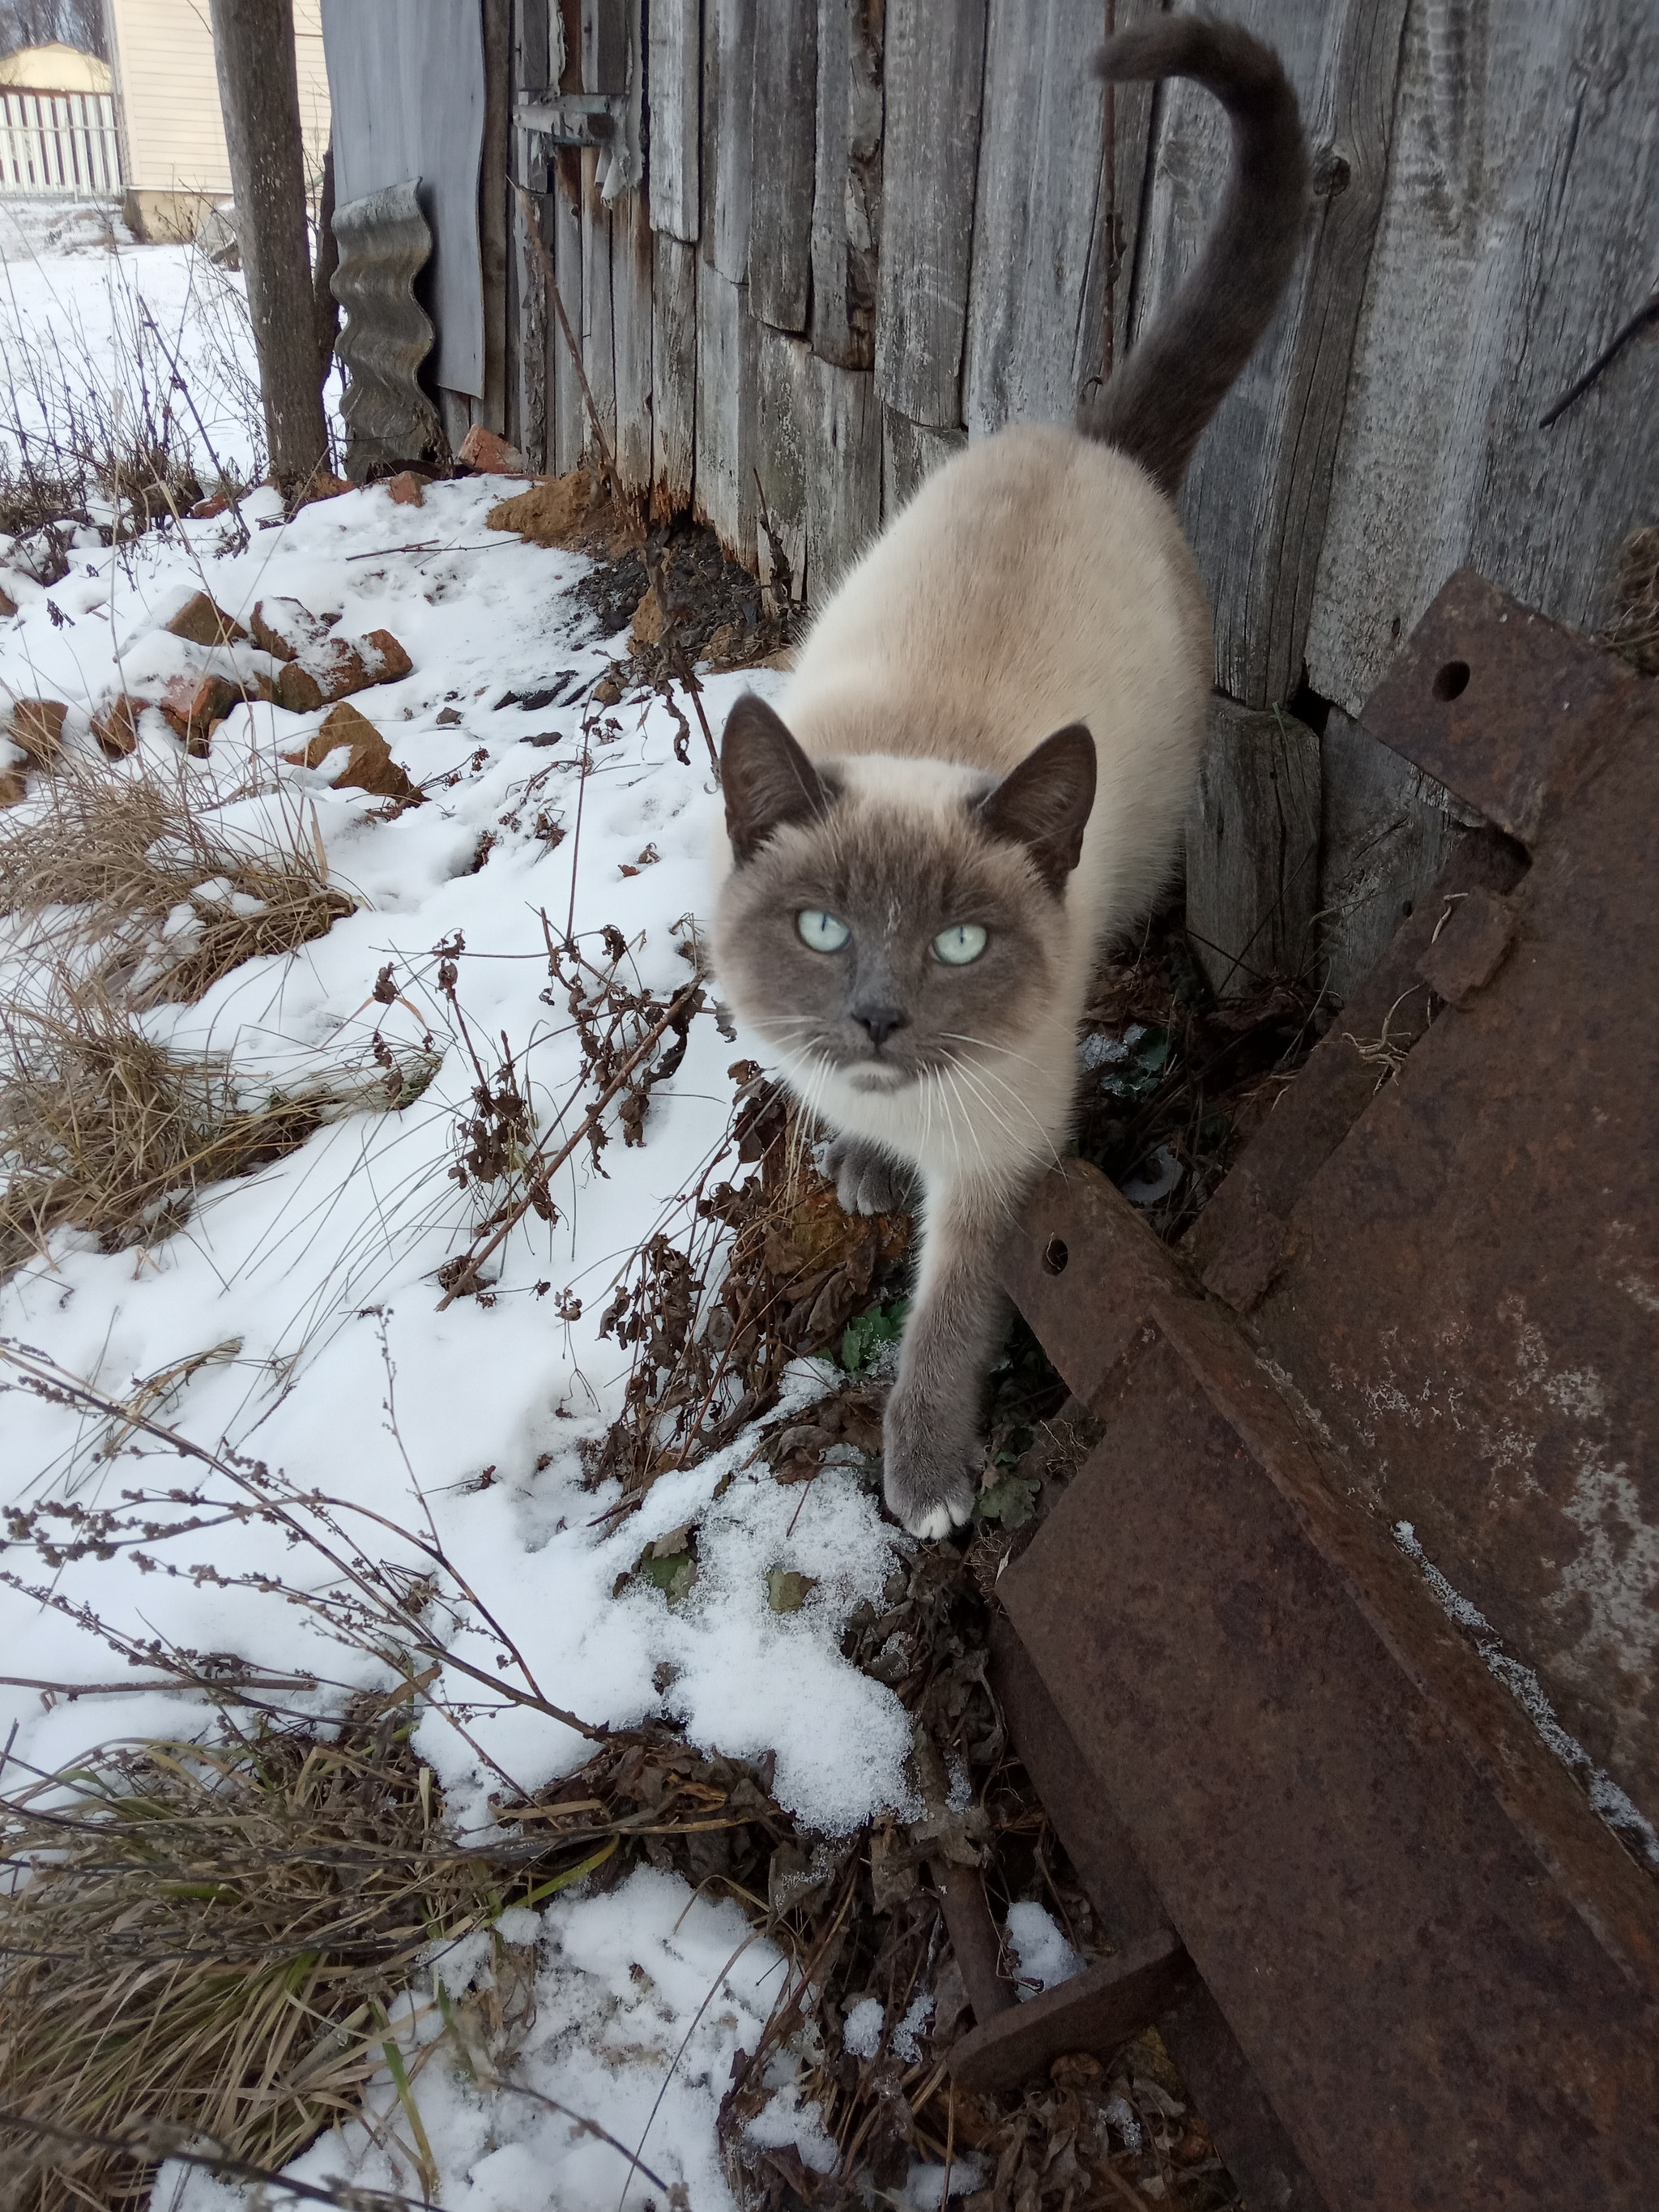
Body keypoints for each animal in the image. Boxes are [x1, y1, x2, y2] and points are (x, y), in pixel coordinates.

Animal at [711, 18, 1309, 1539]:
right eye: (823, 930)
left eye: (962, 946)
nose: (874, 1018)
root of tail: (1089, 443)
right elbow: (834, 1117)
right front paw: (859, 1165)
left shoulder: (997, 1160)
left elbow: (946, 1322)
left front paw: (924, 1486)